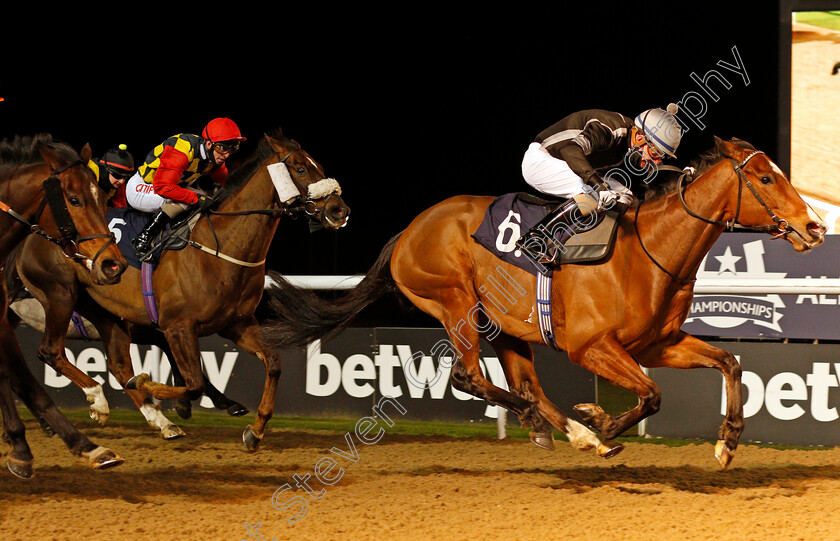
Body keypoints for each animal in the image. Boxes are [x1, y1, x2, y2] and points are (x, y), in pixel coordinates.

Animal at [13, 130, 348, 448]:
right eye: (301, 168)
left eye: (317, 166)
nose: (339, 210)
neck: (221, 247)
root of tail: (37, 233)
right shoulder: (178, 327)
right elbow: (194, 383)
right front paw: (152, 387)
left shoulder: (237, 324)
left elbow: (274, 363)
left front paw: (256, 430)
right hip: (60, 296)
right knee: (50, 351)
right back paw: (99, 403)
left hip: (106, 311)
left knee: (119, 365)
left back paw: (157, 421)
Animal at [262, 137, 828, 470]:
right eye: (765, 178)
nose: (815, 227)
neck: (649, 251)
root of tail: (408, 231)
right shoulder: (591, 347)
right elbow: (652, 395)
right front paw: (603, 421)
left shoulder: (657, 344)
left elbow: (729, 362)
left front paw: (727, 442)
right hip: (455, 303)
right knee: (471, 376)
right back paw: (574, 429)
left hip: (502, 325)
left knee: (522, 384)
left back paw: (561, 430)